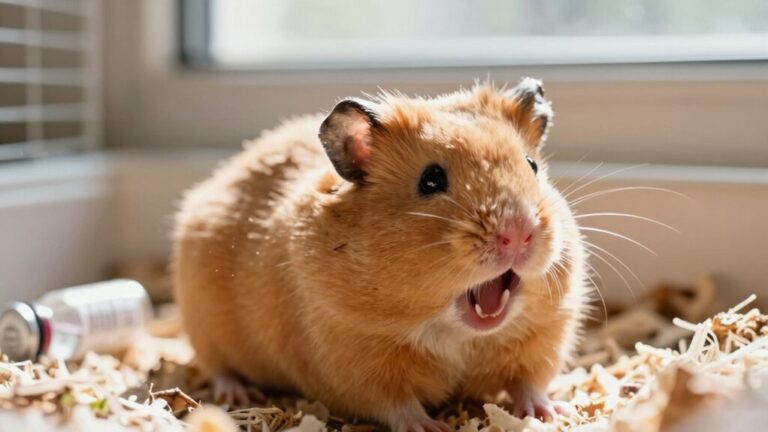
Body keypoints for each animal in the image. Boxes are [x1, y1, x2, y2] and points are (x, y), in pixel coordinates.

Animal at [173, 78, 588, 431]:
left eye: (532, 167)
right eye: (431, 180)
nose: (518, 234)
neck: (454, 332)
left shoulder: (543, 335)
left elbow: (528, 383)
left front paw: (554, 413)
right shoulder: (353, 358)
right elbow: (396, 403)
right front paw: (430, 427)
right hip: (204, 324)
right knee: (217, 366)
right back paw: (239, 393)